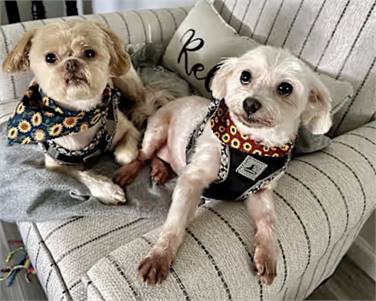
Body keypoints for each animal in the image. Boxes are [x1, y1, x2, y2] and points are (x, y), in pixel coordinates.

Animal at [115, 45, 332, 284]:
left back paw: (160, 170)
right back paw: (129, 172)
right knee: (143, 156)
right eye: (245, 76)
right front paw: (159, 256)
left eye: (285, 88)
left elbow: (269, 222)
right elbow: (175, 222)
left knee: (160, 158)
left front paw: (267, 255)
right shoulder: (193, 179)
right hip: (157, 131)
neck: (253, 146)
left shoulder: (260, 192)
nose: (250, 103)